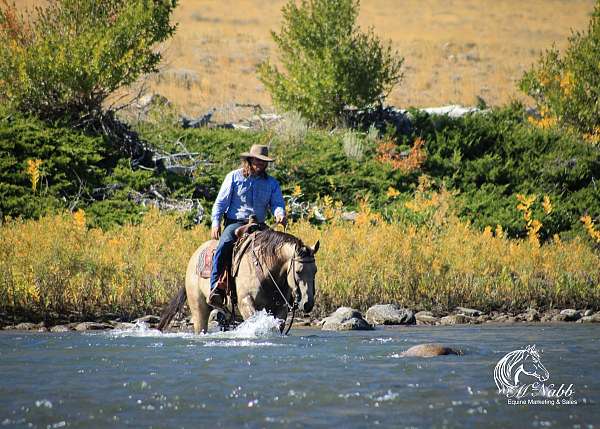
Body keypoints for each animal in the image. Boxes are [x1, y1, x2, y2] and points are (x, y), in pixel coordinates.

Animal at [158, 229, 318, 332]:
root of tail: (193, 257)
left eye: (315, 271)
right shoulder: (245, 302)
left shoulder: (281, 309)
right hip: (198, 308)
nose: (307, 304)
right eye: (298, 271)